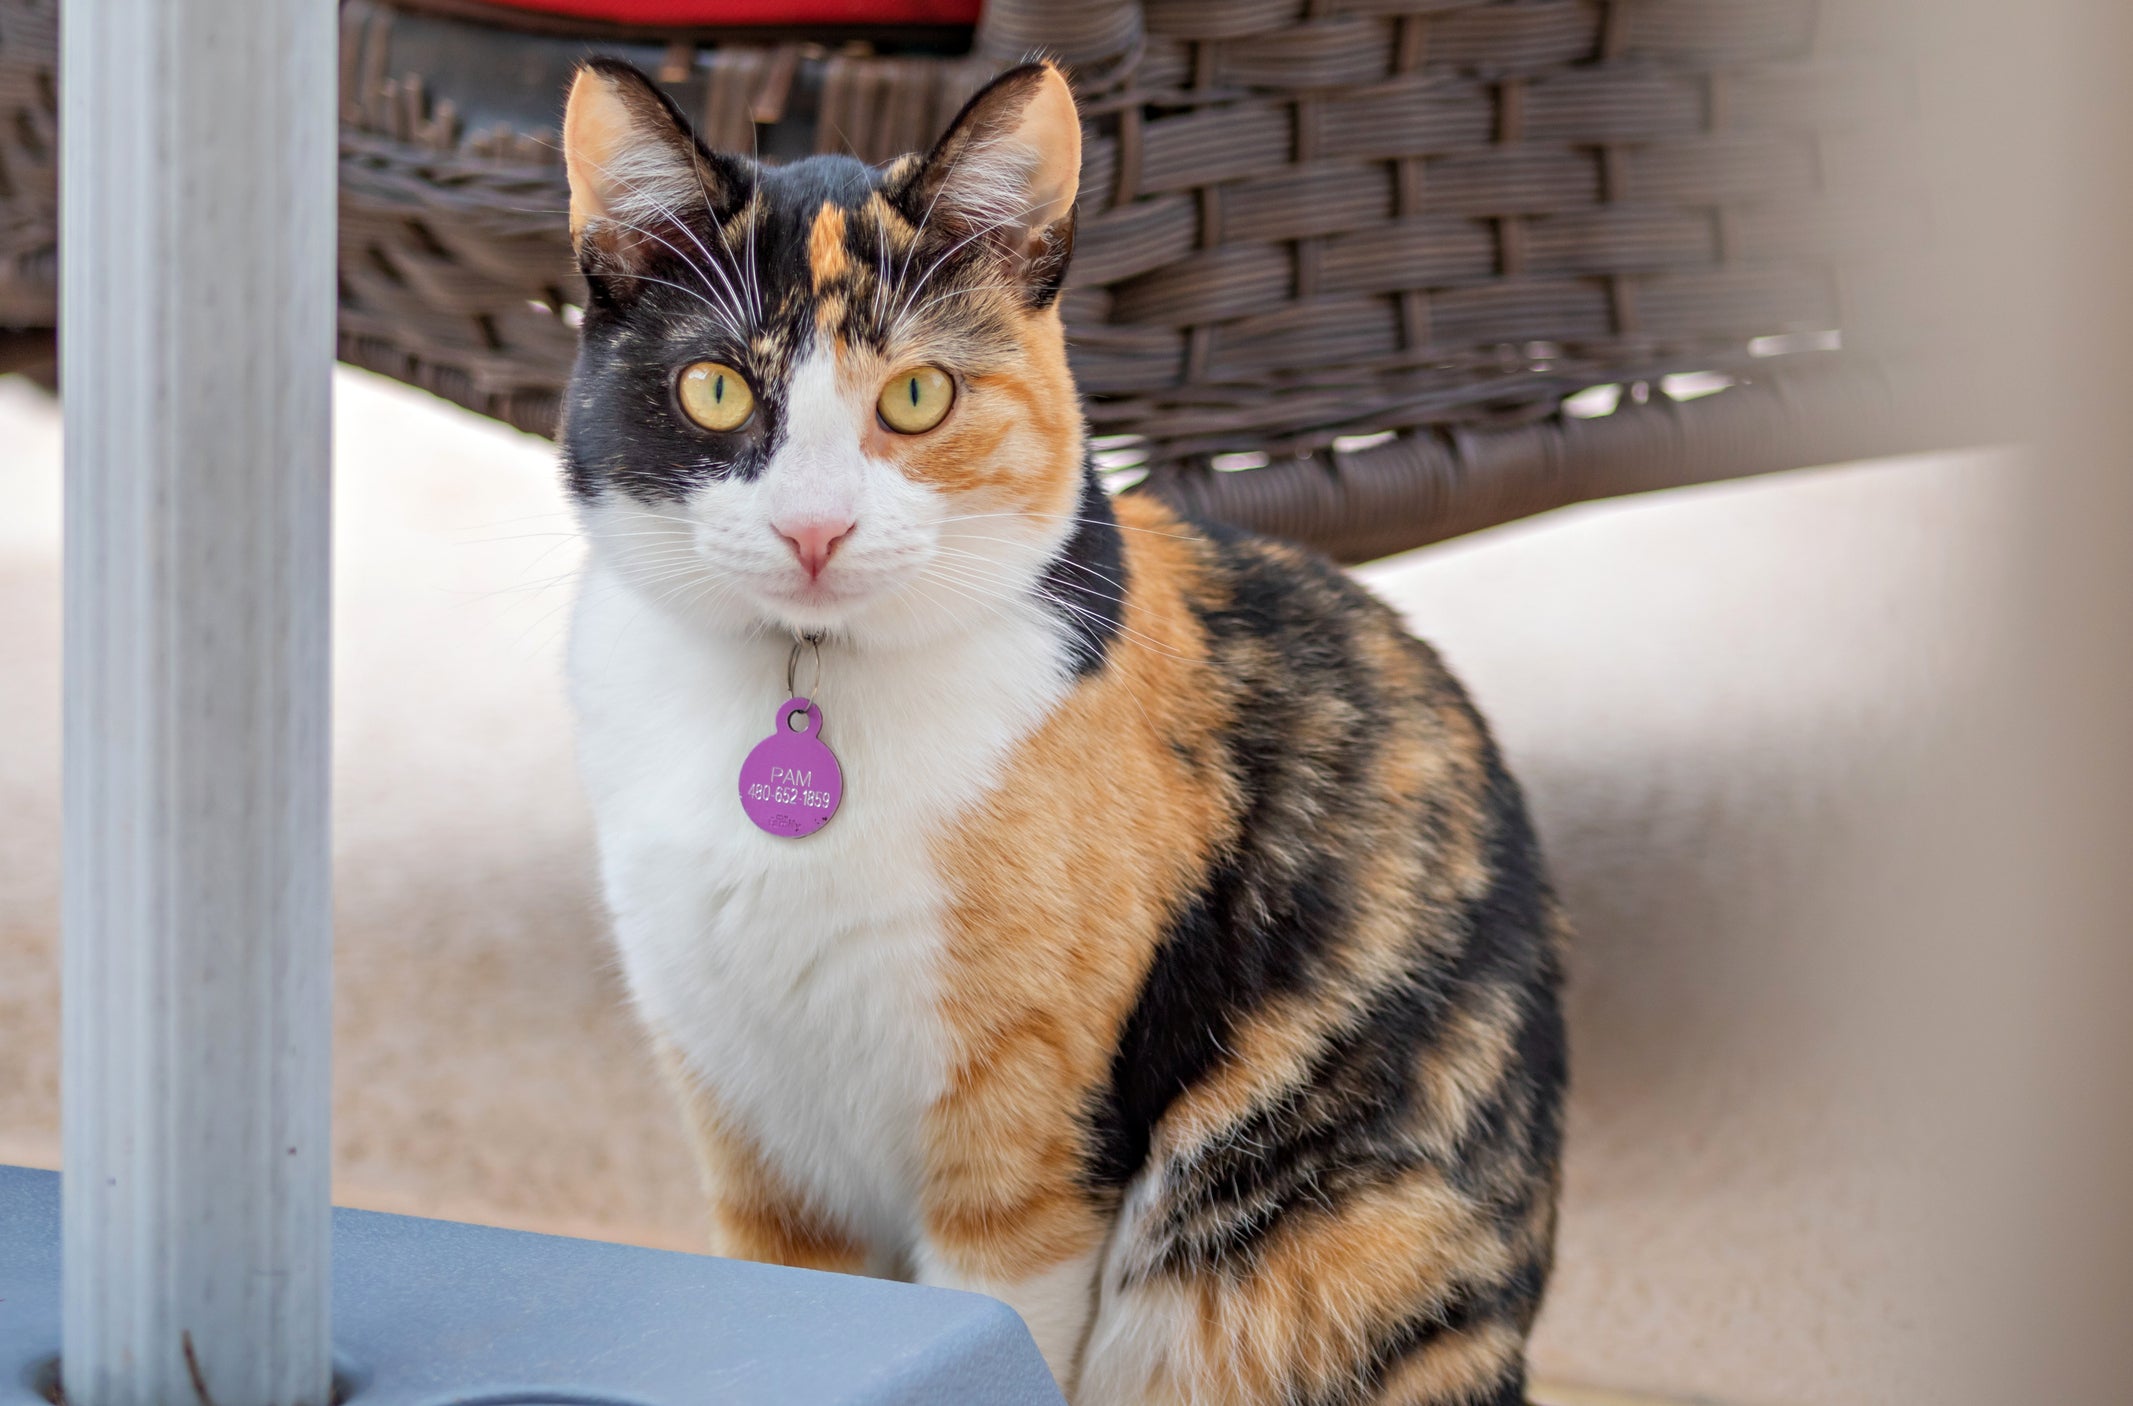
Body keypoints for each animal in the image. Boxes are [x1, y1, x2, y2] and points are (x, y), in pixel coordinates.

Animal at [563, 54, 1569, 1406]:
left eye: (918, 393)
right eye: (716, 388)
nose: (816, 529)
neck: (807, 685)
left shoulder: (1024, 1160)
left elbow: (998, 1318)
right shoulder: (754, 1138)